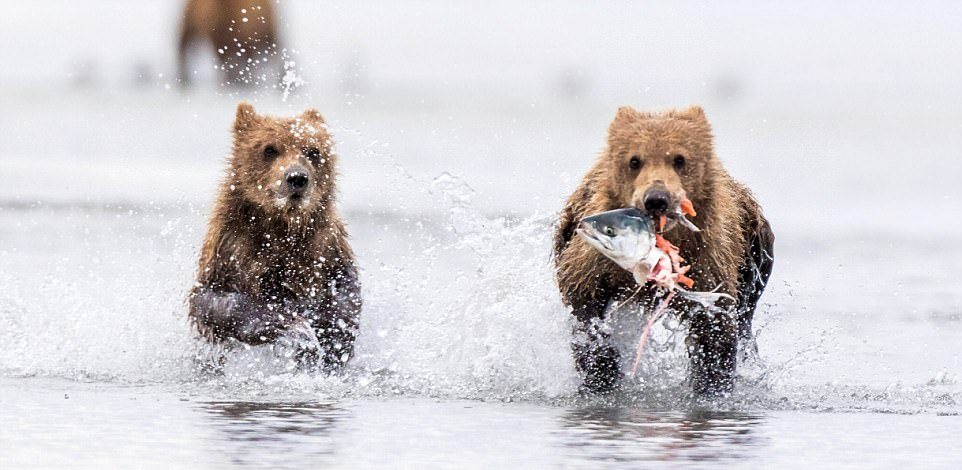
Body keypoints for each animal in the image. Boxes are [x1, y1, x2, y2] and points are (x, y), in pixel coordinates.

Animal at [188, 103, 360, 370]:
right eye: (269, 149)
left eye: (313, 150)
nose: (297, 178)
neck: (280, 226)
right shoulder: (230, 247)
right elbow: (211, 300)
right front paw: (293, 327)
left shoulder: (325, 246)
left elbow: (345, 287)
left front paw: (333, 335)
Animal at [556, 104, 772, 394]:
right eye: (634, 160)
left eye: (680, 159)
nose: (657, 199)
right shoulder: (593, 259)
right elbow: (582, 297)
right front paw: (601, 369)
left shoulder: (710, 257)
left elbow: (714, 329)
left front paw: (711, 381)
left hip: (755, 256)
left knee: (745, 316)